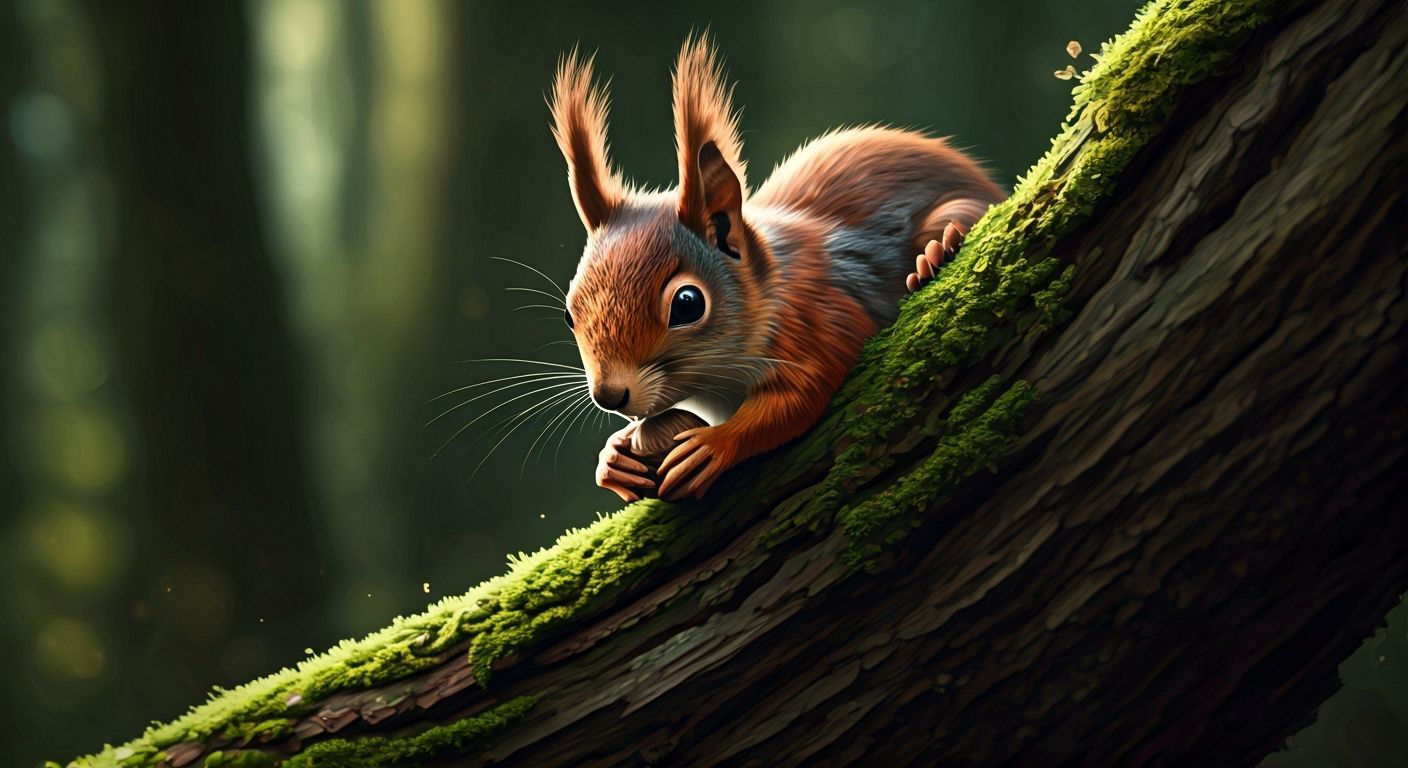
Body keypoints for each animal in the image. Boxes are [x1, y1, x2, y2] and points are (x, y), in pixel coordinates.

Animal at [548, 35, 1004, 502]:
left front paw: (715, 444)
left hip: (959, 207)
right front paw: (612, 458)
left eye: (688, 304)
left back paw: (936, 253)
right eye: (569, 313)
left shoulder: (818, 317)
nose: (609, 395)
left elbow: (802, 393)